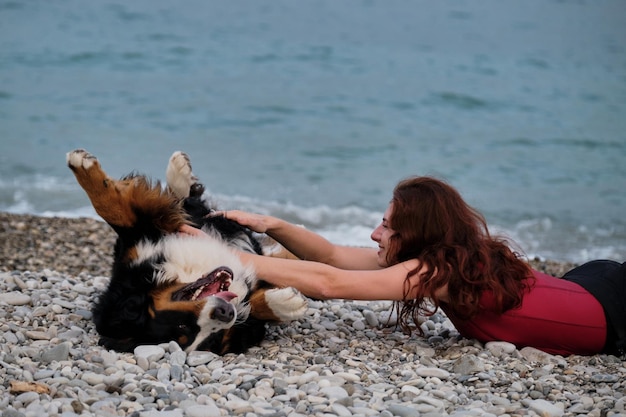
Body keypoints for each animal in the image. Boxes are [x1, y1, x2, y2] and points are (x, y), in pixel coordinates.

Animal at [66, 148, 308, 352]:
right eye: (186, 328)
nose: (225, 313)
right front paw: (286, 303)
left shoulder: (136, 245)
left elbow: (111, 209)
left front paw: (81, 164)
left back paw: (179, 171)